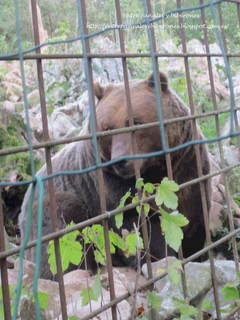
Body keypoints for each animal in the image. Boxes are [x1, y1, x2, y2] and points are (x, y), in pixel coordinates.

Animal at [18, 70, 212, 280]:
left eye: (136, 122)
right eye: (108, 128)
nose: (120, 160)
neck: (154, 168)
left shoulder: (189, 164)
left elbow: (196, 217)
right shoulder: (110, 186)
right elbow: (138, 229)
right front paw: (161, 259)